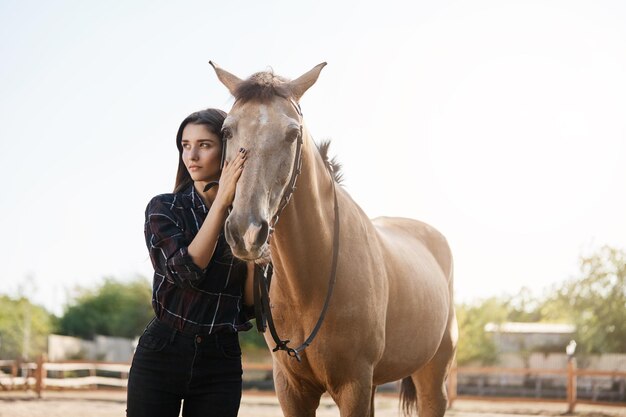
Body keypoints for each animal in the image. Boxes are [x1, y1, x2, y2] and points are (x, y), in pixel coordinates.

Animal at [207, 62, 456, 416]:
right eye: (227, 131)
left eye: (292, 134)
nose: (246, 230)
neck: (309, 284)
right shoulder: (292, 390)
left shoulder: (353, 386)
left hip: (431, 375)